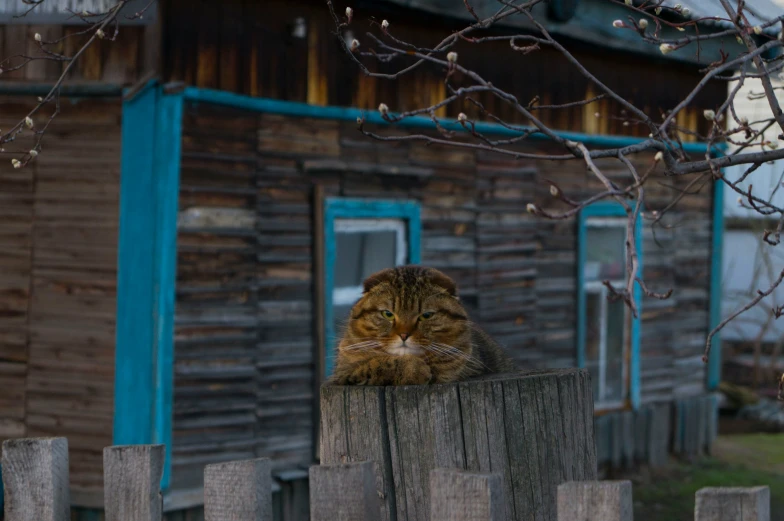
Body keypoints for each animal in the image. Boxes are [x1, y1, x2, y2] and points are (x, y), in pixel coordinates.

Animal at [330, 266, 516, 384]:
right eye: (387, 314)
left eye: (426, 315)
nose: (404, 335)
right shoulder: (343, 374)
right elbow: (379, 363)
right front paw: (415, 369)